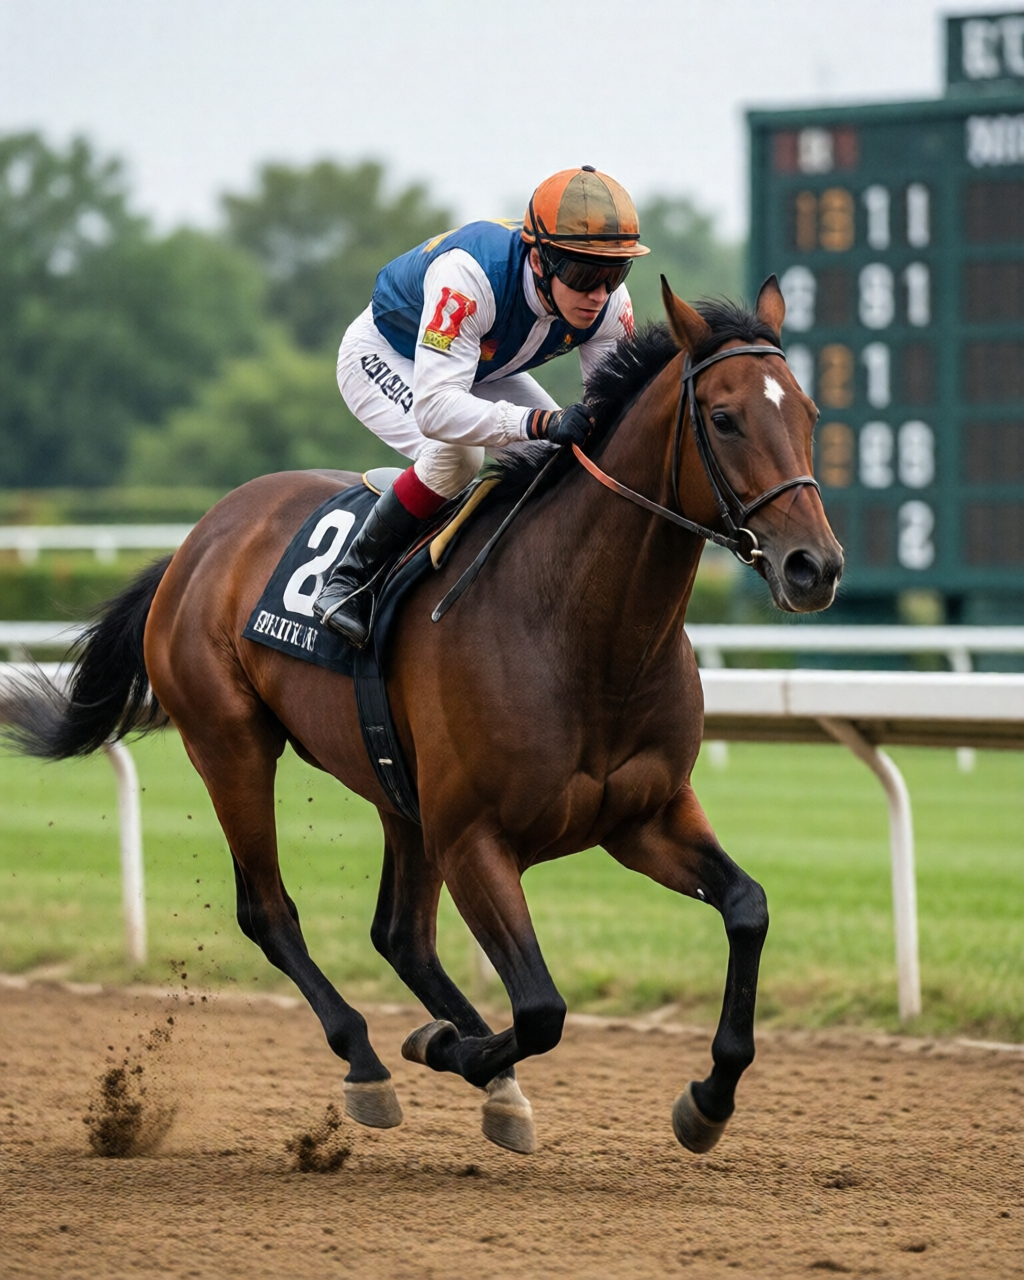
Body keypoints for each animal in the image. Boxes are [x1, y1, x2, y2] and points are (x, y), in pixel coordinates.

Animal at [2, 277, 842, 1156]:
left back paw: (479, 1071)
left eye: (809, 411)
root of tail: (198, 540)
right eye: (725, 417)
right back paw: (371, 1061)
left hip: (396, 791)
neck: (583, 631)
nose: (813, 567)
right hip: (230, 743)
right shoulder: (474, 835)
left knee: (400, 933)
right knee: (271, 912)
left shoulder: (641, 817)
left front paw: (708, 1098)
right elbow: (541, 1008)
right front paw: (450, 1049)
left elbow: (747, 908)